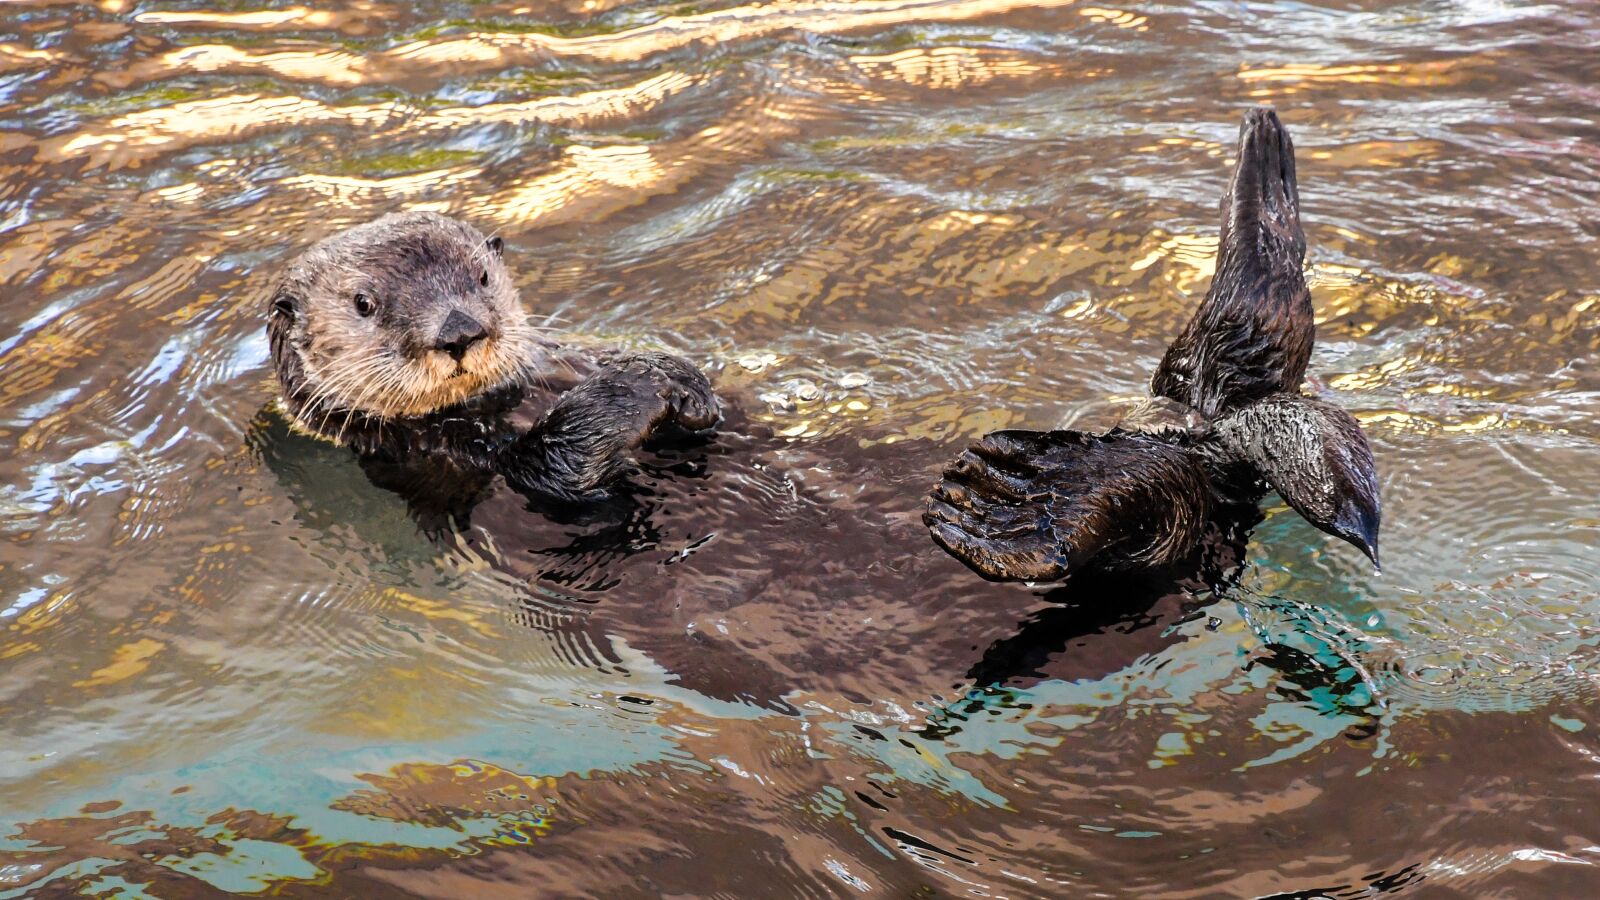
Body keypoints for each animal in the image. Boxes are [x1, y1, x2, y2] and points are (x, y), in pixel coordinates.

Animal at [266, 211, 719, 506]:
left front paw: (678, 377)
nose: (459, 331)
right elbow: (558, 466)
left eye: (482, 276)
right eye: (363, 303)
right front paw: (633, 387)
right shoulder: (447, 456)